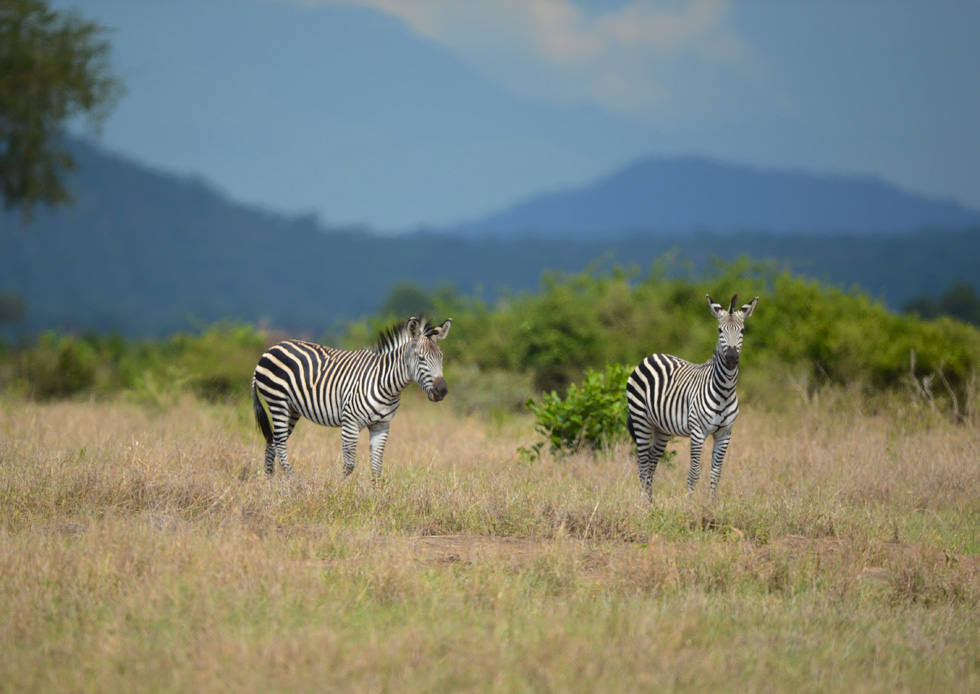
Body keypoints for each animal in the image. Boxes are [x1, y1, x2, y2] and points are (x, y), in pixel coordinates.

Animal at [251, 316, 454, 478]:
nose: (443, 390)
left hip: (292, 409)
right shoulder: (350, 423)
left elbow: (376, 467)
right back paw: (292, 481)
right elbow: (349, 466)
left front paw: (377, 498)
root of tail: (270, 349)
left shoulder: (381, 426)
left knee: (272, 442)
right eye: (421, 358)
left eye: (441, 357)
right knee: (279, 444)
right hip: (278, 402)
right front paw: (336, 491)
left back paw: (270, 483)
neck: (386, 384)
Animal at [628, 296, 756, 502]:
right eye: (720, 330)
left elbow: (716, 473)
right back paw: (644, 504)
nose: (731, 358)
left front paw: (711, 505)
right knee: (642, 463)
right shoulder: (697, 432)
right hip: (640, 418)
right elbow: (694, 472)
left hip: (661, 428)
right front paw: (689, 503)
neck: (724, 391)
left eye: (742, 330)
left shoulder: (725, 433)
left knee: (652, 461)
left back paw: (651, 502)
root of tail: (652, 356)